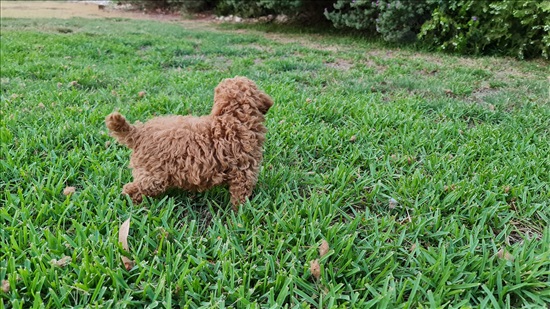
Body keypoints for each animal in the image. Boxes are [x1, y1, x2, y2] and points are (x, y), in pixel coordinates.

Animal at [105, 76, 274, 208]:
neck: (233, 118)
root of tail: (139, 132)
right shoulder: (244, 173)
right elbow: (240, 196)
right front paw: (242, 212)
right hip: (153, 177)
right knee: (132, 188)